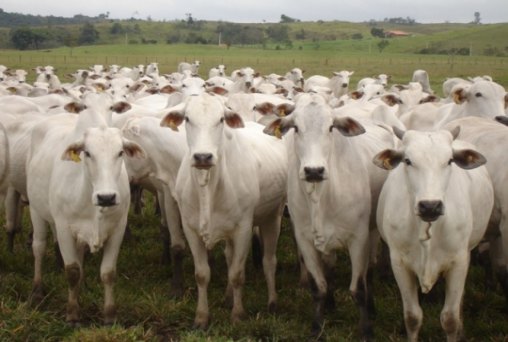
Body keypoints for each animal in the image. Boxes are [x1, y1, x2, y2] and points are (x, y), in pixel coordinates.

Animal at [161, 93, 288, 328]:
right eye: (187, 119)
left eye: (220, 119)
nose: (203, 157)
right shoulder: (191, 229)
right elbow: (202, 274)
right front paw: (201, 317)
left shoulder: (244, 228)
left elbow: (237, 274)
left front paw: (238, 314)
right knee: (230, 256)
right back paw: (228, 297)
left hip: (272, 217)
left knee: (269, 261)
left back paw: (273, 302)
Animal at [372, 127, 494, 340]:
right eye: (407, 160)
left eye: (450, 160)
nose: (430, 206)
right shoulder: (399, 263)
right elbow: (412, 317)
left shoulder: (459, 262)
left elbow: (450, 319)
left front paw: (456, 329)